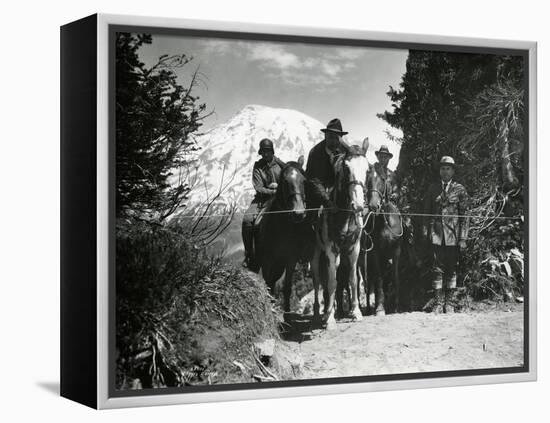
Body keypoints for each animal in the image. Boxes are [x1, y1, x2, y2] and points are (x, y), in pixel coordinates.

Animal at [258, 157, 314, 314]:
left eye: (304, 180)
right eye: (284, 181)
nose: (299, 213)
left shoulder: (291, 259)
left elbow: (287, 287)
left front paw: (287, 312)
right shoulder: (267, 259)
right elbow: (268, 285)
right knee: (269, 283)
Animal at [314, 139, 370, 332]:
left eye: (368, 169)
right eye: (346, 168)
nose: (358, 205)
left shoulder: (354, 249)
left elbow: (353, 280)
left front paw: (356, 312)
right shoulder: (331, 250)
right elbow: (332, 282)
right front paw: (329, 319)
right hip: (316, 254)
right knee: (320, 280)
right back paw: (321, 313)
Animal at [362, 166, 406, 314]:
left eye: (382, 180)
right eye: (368, 180)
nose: (373, 206)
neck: (385, 221)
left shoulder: (396, 252)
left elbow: (395, 277)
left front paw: (397, 307)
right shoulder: (376, 253)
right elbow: (379, 279)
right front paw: (380, 308)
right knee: (367, 282)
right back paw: (369, 308)